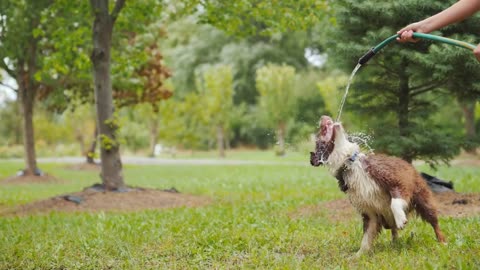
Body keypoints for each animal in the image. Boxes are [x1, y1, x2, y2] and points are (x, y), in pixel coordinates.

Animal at [310, 115, 444, 256]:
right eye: (320, 137)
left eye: (320, 132)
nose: (323, 117)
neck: (349, 164)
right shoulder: (369, 213)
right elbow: (366, 238)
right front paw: (357, 256)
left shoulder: (397, 181)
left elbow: (394, 202)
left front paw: (401, 218)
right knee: (394, 230)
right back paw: (395, 243)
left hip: (423, 199)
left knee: (434, 222)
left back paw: (442, 242)